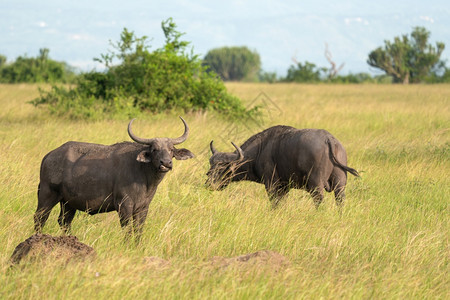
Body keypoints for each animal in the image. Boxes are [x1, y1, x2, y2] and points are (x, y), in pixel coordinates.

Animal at [34, 117, 193, 239]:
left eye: (171, 150)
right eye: (154, 149)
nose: (165, 163)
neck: (143, 175)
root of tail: (49, 155)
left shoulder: (143, 207)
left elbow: (138, 230)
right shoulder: (124, 206)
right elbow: (128, 229)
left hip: (68, 203)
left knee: (64, 221)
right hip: (47, 195)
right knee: (39, 218)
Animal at [207, 125, 358, 207]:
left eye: (222, 168)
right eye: (211, 166)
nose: (208, 184)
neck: (261, 148)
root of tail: (329, 139)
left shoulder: (271, 184)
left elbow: (274, 203)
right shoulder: (285, 187)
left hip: (316, 185)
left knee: (319, 201)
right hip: (340, 184)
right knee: (340, 201)